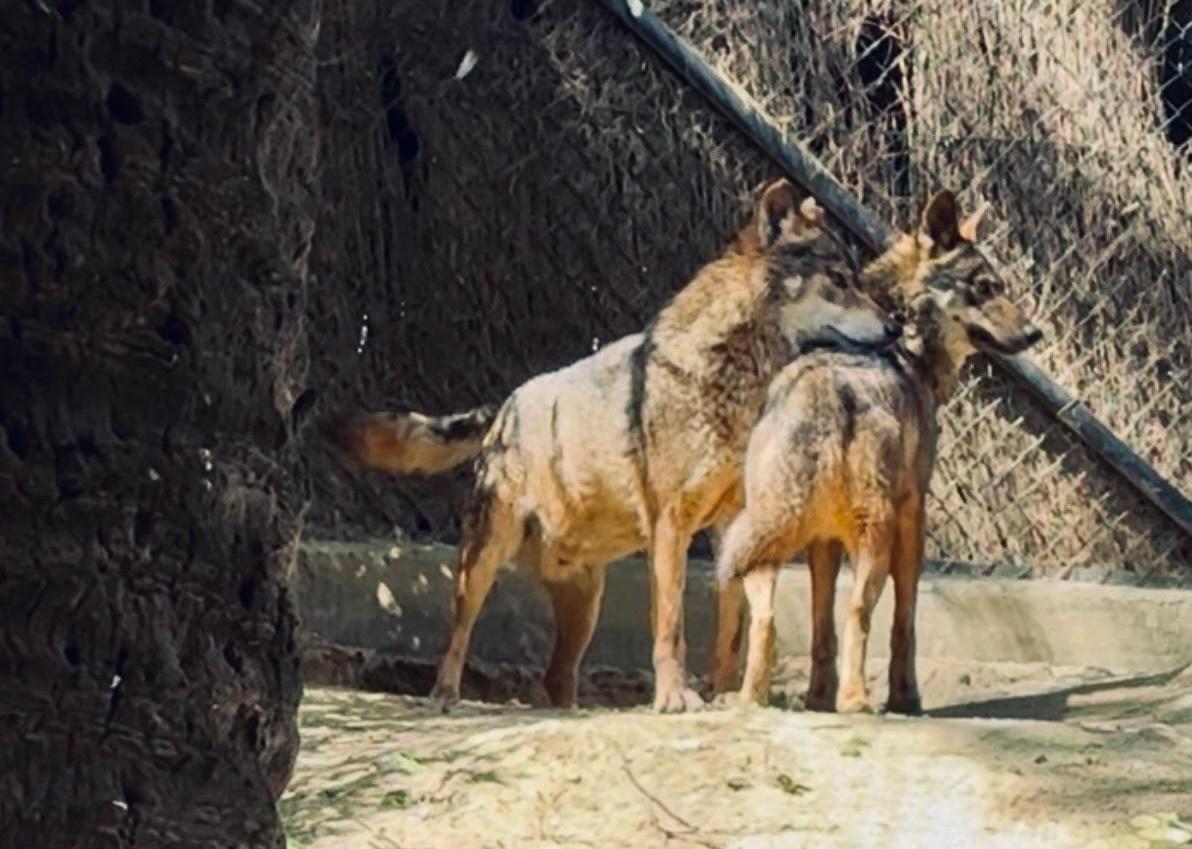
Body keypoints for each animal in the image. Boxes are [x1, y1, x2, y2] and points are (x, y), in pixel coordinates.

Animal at [336, 179, 901, 712]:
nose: (896, 326)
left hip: (586, 602)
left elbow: (737, 628)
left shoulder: (734, 527)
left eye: (858, 279)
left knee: (556, 677)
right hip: (483, 562)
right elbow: (671, 627)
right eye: (840, 280)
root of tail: (506, 404)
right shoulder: (671, 525)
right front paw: (674, 698)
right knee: (458, 636)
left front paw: (725, 694)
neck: (735, 374)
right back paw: (445, 694)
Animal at [714, 190, 1042, 714]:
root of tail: (822, 393)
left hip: (762, 539)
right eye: (985, 287)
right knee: (859, 612)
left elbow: (820, 625)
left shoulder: (823, 543)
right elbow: (903, 622)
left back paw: (752, 700)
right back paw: (856, 701)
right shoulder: (914, 516)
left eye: (1000, 286)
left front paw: (817, 698)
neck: (907, 343)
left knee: (765, 619)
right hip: (875, 537)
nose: (1034, 334)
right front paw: (905, 696)